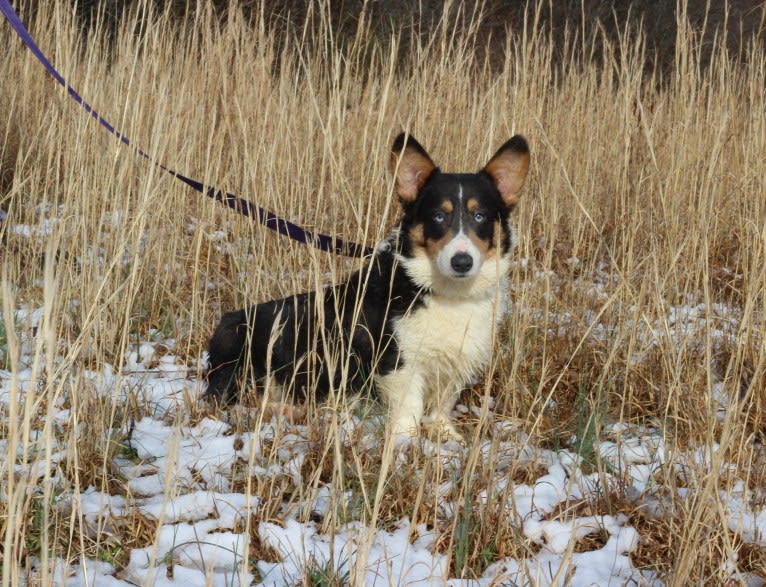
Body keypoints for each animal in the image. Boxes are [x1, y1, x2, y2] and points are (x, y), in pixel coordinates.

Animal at [207, 132, 532, 436]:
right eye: (439, 216)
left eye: (480, 216)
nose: (462, 262)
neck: (443, 291)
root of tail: (224, 323)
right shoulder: (399, 364)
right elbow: (409, 411)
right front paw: (406, 444)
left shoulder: (455, 363)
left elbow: (442, 404)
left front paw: (445, 436)